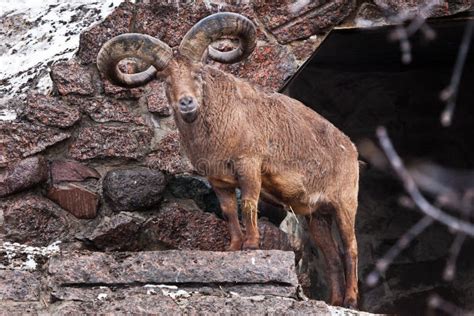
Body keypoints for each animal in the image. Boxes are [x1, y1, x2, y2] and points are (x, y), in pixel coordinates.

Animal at [97, 12, 360, 308]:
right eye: (166, 79)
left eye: (198, 73)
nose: (186, 103)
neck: (224, 124)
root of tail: (350, 149)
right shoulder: (218, 180)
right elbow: (229, 211)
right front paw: (233, 247)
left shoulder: (249, 165)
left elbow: (248, 204)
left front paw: (252, 244)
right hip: (316, 216)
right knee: (332, 257)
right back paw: (335, 302)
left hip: (344, 204)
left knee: (350, 249)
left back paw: (351, 300)